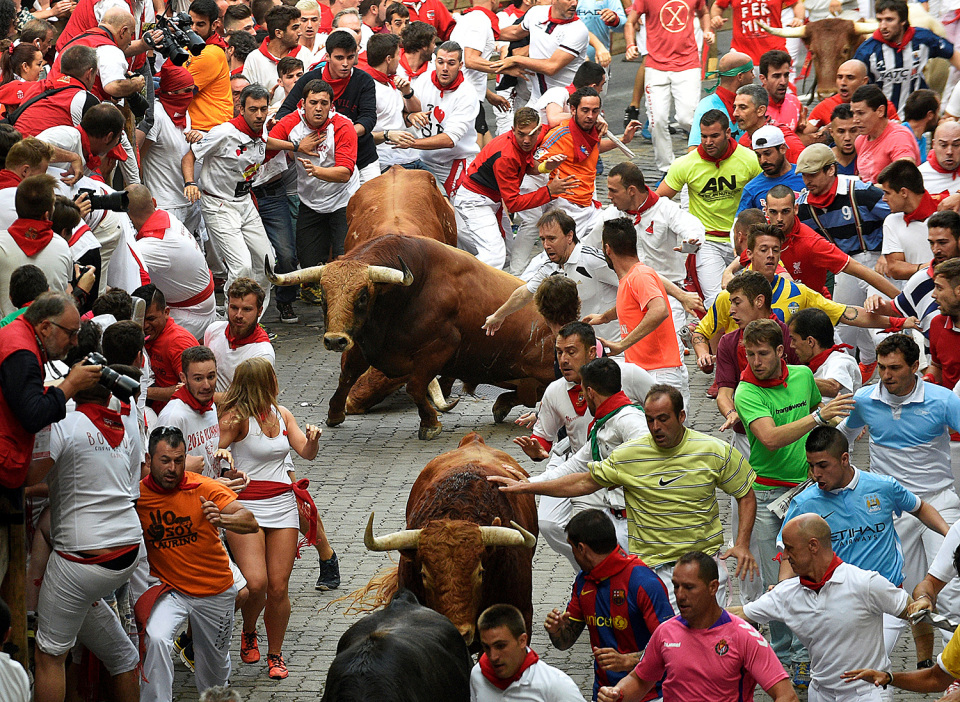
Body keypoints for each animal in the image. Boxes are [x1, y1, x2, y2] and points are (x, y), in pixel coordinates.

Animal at [265, 235, 556, 440]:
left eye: (362, 296)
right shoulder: (361, 342)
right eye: (324, 294)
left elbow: (415, 387)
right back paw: (501, 405)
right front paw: (335, 413)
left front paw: (430, 424)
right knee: (528, 393)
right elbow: (346, 376)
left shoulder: (439, 348)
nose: (335, 340)